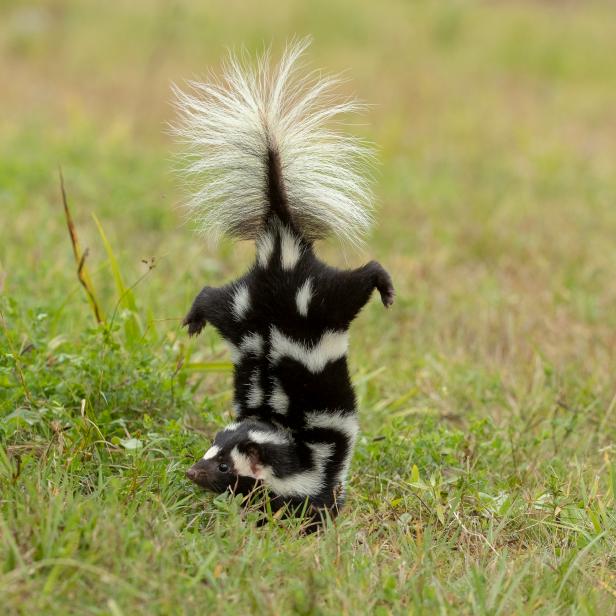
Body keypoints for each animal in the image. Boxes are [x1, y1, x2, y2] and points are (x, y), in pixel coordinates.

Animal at [174, 38, 394, 520]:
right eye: (209, 455)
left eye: (223, 466)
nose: (192, 472)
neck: (286, 436)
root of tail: (280, 246)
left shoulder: (321, 468)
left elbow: (316, 500)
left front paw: (321, 517)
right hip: (262, 302)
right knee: (211, 295)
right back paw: (194, 319)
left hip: (298, 299)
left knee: (362, 276)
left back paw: (385, 287)